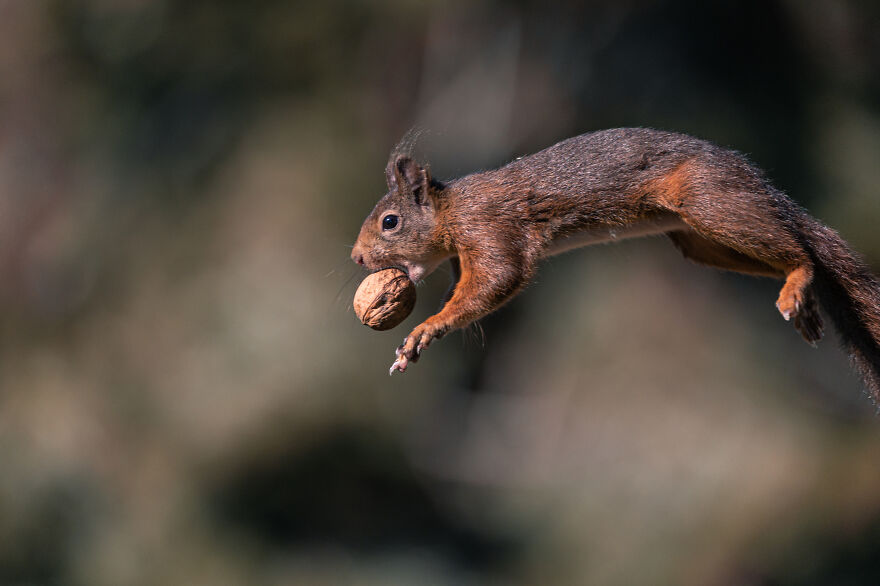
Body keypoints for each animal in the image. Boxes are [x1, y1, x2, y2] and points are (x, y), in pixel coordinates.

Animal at [351, 128, 880, 400]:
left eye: (390, 222)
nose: (355, 257)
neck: (453, 210)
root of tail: (755, 181)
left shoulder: (490, 228)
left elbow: (501, 278)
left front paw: (428, 327)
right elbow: (467, 291)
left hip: (709, 200)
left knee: (801, 253)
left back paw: (799, 278)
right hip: (699, 241)